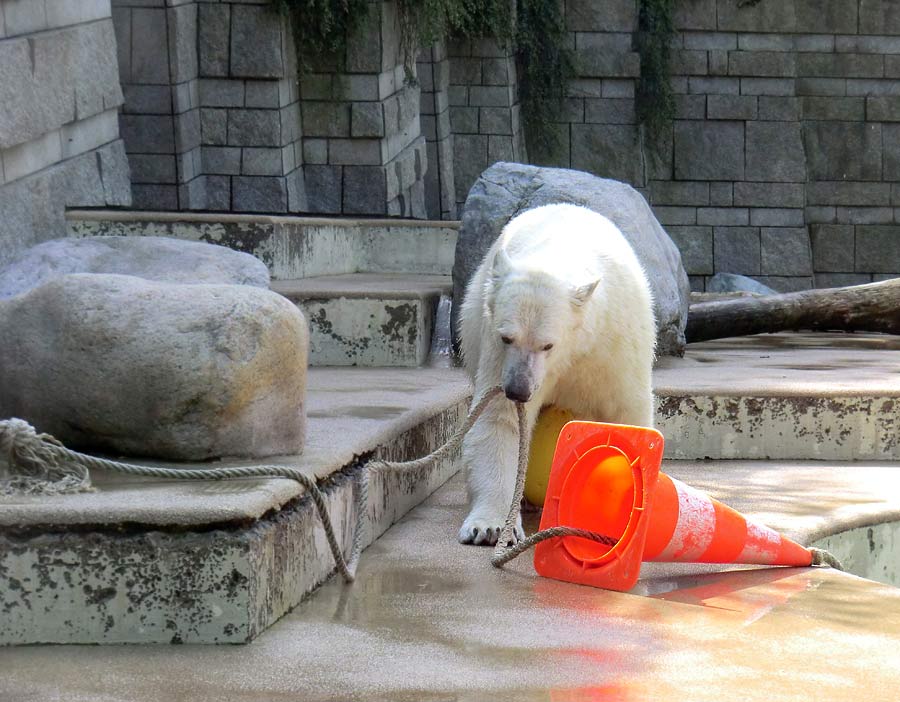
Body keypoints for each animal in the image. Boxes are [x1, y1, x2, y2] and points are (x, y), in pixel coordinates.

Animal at [458, 201, 652, 548]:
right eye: (507, 337)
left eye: (547, 344)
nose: (519, 389)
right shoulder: (495, 350)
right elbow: (498, 419)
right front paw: (490, 527)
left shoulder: (614, 345)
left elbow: (626, 411)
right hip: (472, 317)